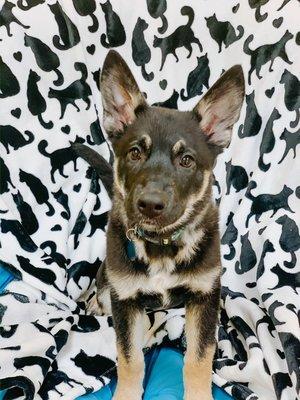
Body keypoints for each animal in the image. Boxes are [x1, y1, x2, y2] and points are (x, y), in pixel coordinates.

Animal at [74, 50, 245, 400]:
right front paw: (126, 394)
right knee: (102, 288)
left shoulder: (205, 297)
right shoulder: (125, 301)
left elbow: (199, 358)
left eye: (186, 160)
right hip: (110, 279)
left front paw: (199, 395)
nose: (150, 205)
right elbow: (130, 359)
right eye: (135, 153)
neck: (162, 244)